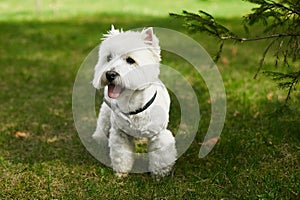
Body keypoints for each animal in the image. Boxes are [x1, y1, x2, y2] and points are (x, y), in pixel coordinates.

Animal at [91, 25, 176, 177]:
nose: (110, 74)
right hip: (106, 114)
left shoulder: (159, 134)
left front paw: (159, 175)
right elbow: (121, 155)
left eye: (130, 60)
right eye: (109, 57)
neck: (134, 104)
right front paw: (121, 173)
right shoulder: (120, 134)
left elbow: (160, 156)